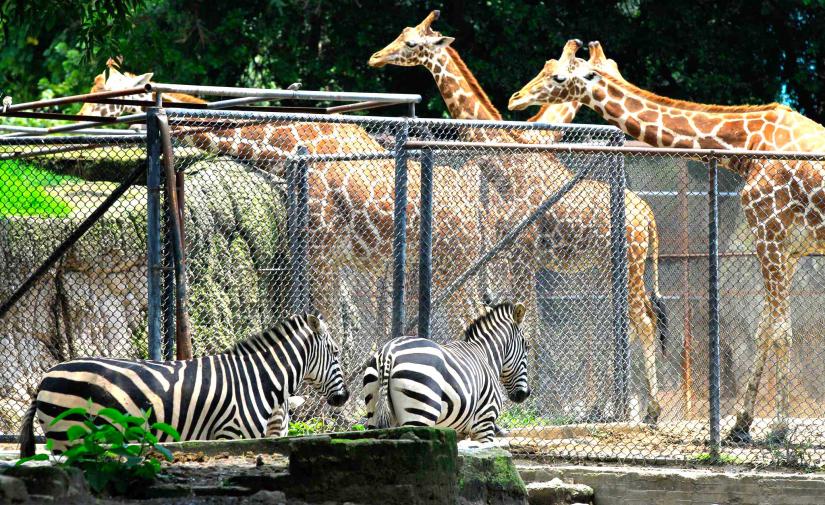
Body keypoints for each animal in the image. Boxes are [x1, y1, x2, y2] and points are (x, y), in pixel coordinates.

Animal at [19, 312, 348, 456]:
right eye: (335, 353)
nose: (343, 398)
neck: (257, 377)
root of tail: (46, 376)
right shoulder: (232, 434)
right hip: (67, 435)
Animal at [360, 300, 528, 440]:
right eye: (527, 347)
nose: (524, 395)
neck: (485, 355)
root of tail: (388, 351)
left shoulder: (457, 431)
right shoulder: (484, 422)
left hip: (374, 412)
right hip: (420, 415)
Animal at [370, 10, 668, 422]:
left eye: (412, 43)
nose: (375, 57)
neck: (505, 163)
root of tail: (650, 217)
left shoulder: (523, 251)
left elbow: (528, 324)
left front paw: (536, 402)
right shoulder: (510, 253)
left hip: (631, 264)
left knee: (642, 321)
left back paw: (650, 409)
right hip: (608, 265)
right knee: (619, 320)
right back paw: (606, 406)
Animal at [506, 38, 824, 440]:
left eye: (558, 76)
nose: (515, 97)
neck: (747, 147)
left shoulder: (769, 231)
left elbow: (780, 331)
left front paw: (779, 429)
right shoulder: (789, 247)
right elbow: (765, 329)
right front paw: (741, 425)